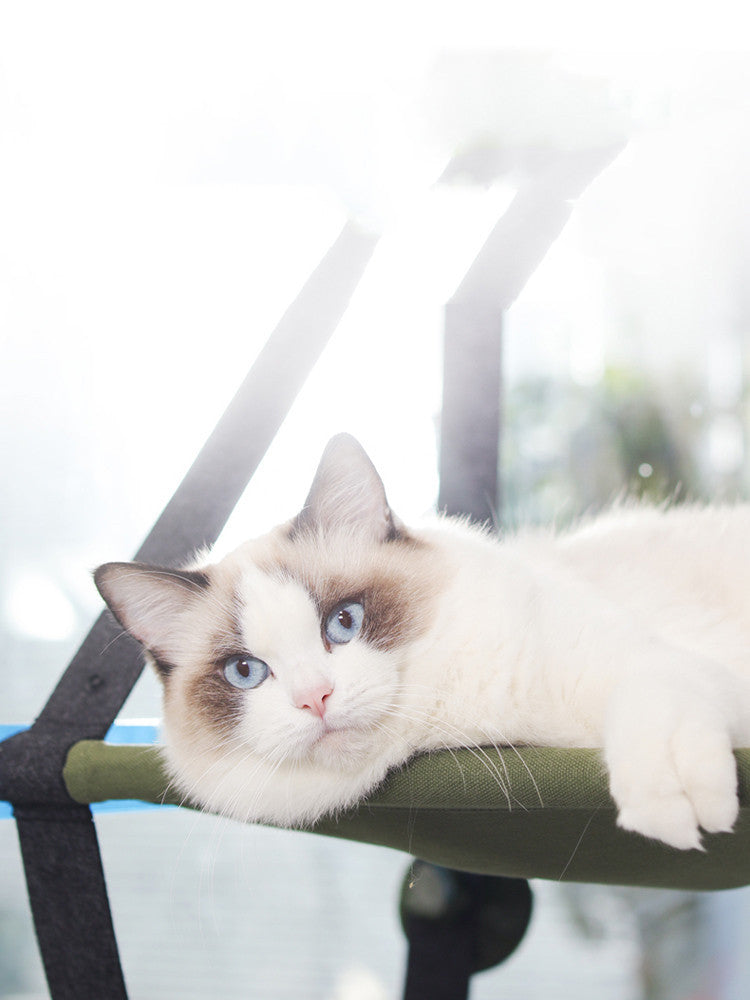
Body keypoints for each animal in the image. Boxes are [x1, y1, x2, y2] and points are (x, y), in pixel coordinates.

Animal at [94, 434, 750, 848]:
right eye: (245, 673)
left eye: (343, 623)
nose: (314, 699)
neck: (455, 727)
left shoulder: (648, 666)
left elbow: (651, 702)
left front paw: (673, 805)